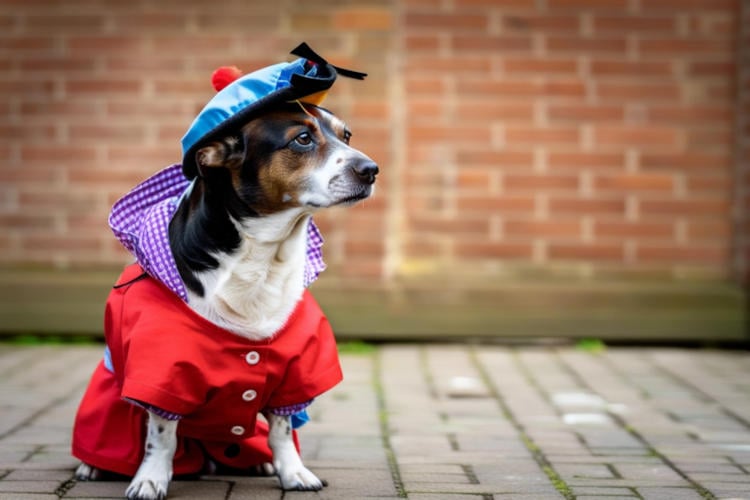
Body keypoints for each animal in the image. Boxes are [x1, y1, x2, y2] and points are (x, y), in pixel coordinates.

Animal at [70, 43, 376, 500]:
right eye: (303, 139)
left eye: (347, 136)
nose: (371, 170)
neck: (262, 257)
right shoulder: (161, 369)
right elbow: (161, 435)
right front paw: (150, 479)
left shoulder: (294, 368)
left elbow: (282, 428)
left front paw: (292, 472)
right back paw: (92, 465)